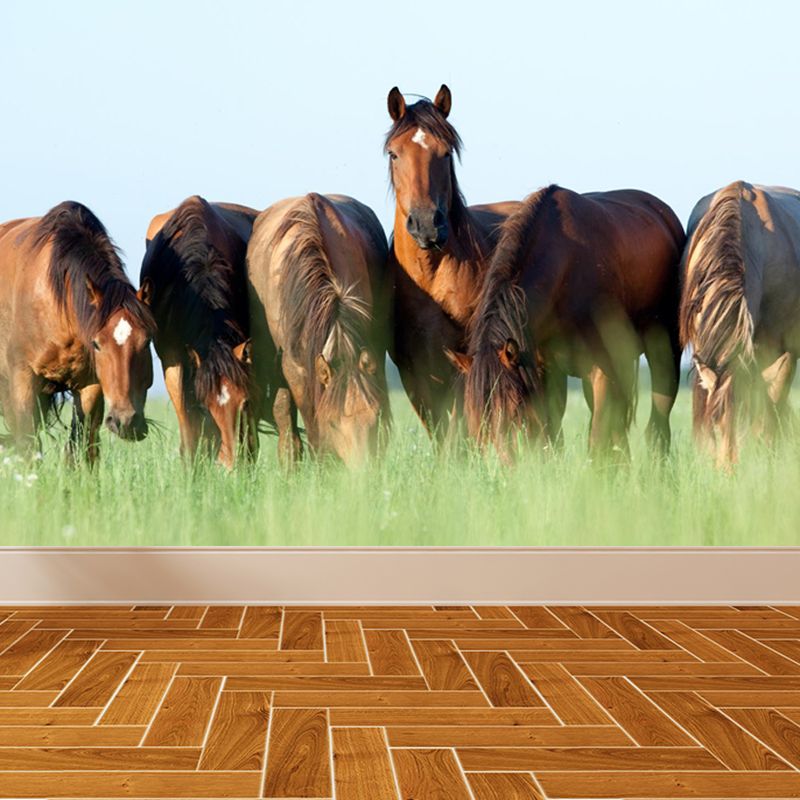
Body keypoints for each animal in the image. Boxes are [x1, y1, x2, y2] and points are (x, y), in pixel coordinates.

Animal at [0, 201, 154, 463]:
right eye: (97, 344)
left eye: (147, 342)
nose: (126, 422)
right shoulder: (22, 378)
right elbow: (28, 445)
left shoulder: (90, 385)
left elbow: (80, 446)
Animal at [449, 184, 685, 463]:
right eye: (475, 420)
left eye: (514, 411)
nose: (502, 469)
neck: (564, 271)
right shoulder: (545, 372)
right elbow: (552, 435)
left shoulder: (601, 370)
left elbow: (597, 439)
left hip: (664, 354)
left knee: (658, 421)